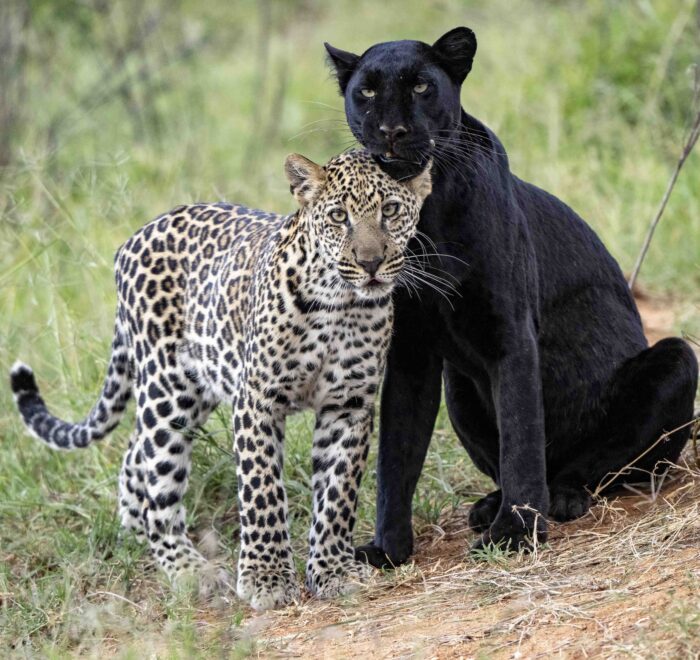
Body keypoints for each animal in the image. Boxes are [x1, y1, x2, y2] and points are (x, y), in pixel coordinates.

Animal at [10, 148, 432, 610]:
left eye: (390, 210)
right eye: (339, 216)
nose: (370, 263)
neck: (340, 305)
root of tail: (132, 239)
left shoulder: (349, 404)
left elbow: (337, 493)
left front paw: (333, 570)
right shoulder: (257, 398)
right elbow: (262, 488)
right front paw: (267, 579)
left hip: (196, 387)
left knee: (134, 452)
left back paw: (135, 529)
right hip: (168, 391)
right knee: (157, 481)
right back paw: (189, 569)